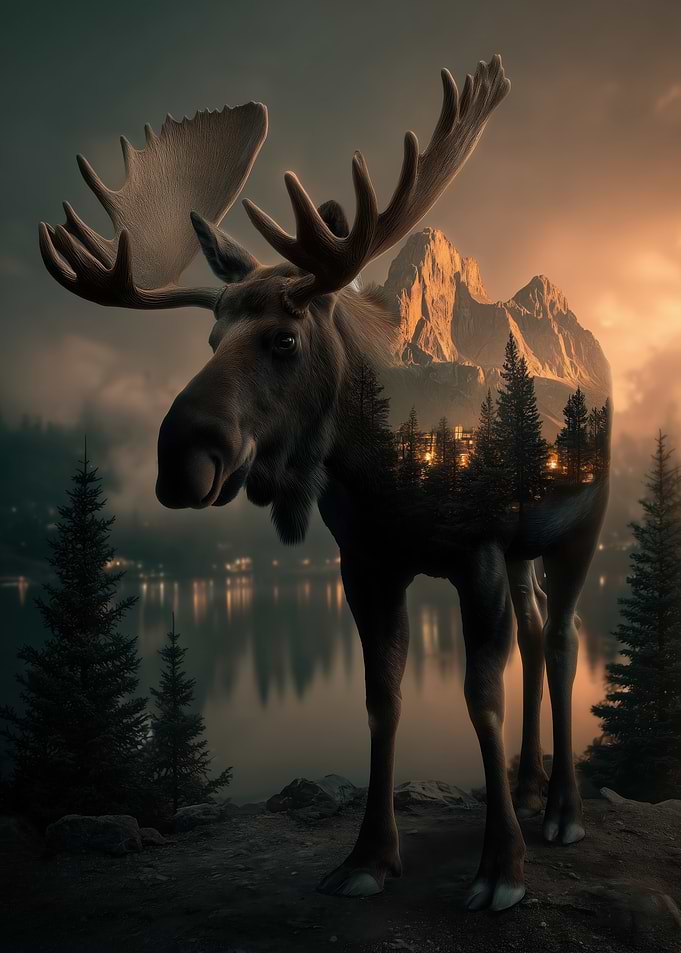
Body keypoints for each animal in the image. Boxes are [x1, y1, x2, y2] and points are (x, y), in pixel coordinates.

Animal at [39, 54, 610, 911]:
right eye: (211, 335)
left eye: (282, 338)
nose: (178, 456)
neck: (378, 471)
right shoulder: (366, 562)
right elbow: (381, 698)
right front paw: (368, 856)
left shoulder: (473, 552)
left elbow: (480, 696)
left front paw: (500, 867)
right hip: (522, 549)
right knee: (540, 632)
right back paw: (529, 783)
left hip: (579, 527)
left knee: (567, 638)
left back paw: (563, 812)